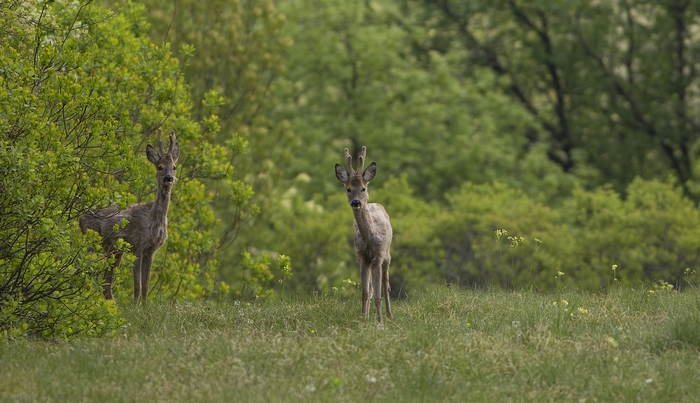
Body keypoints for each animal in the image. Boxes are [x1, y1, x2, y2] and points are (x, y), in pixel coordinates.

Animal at [78, 131, 180, 302]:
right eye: (159, 167)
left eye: (174, 167)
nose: (168, 178)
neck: (154, 221)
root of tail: (80, 218)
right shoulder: (137, 245)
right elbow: (137, 286)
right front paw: (135, 305)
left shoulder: (151, 250)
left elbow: (145, 286)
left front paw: (144, 306)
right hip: (95, 243)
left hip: (114, 250)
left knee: (106, 284)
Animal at [334, 147, 394, 324]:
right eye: (348, 189)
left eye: (363, 188)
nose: (356, 202)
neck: (370, 240)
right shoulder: (362, 258)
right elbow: (365, 292)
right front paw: (363, 320)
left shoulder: (379, 256)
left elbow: (379, 295)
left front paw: (380, 323)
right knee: (372, 288)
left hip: (388, 255)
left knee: (386, 284)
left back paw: (390, 315)